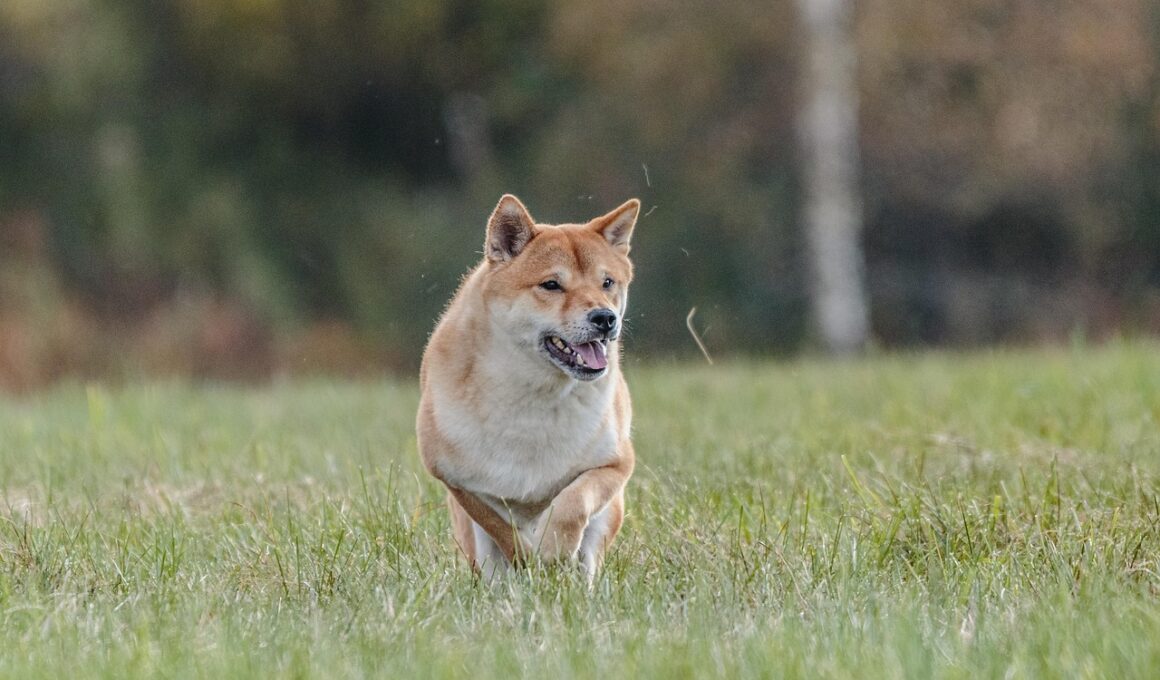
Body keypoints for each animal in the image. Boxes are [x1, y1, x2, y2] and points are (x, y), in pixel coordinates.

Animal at [416, 194, 639, 581]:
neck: (533, 395)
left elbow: (573, 502)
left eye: (608, 282)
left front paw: (553, 549)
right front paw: (529, 561)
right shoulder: (456, 479)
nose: (605, 318)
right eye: (551, 285)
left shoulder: (615, 463)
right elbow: (500, 528)